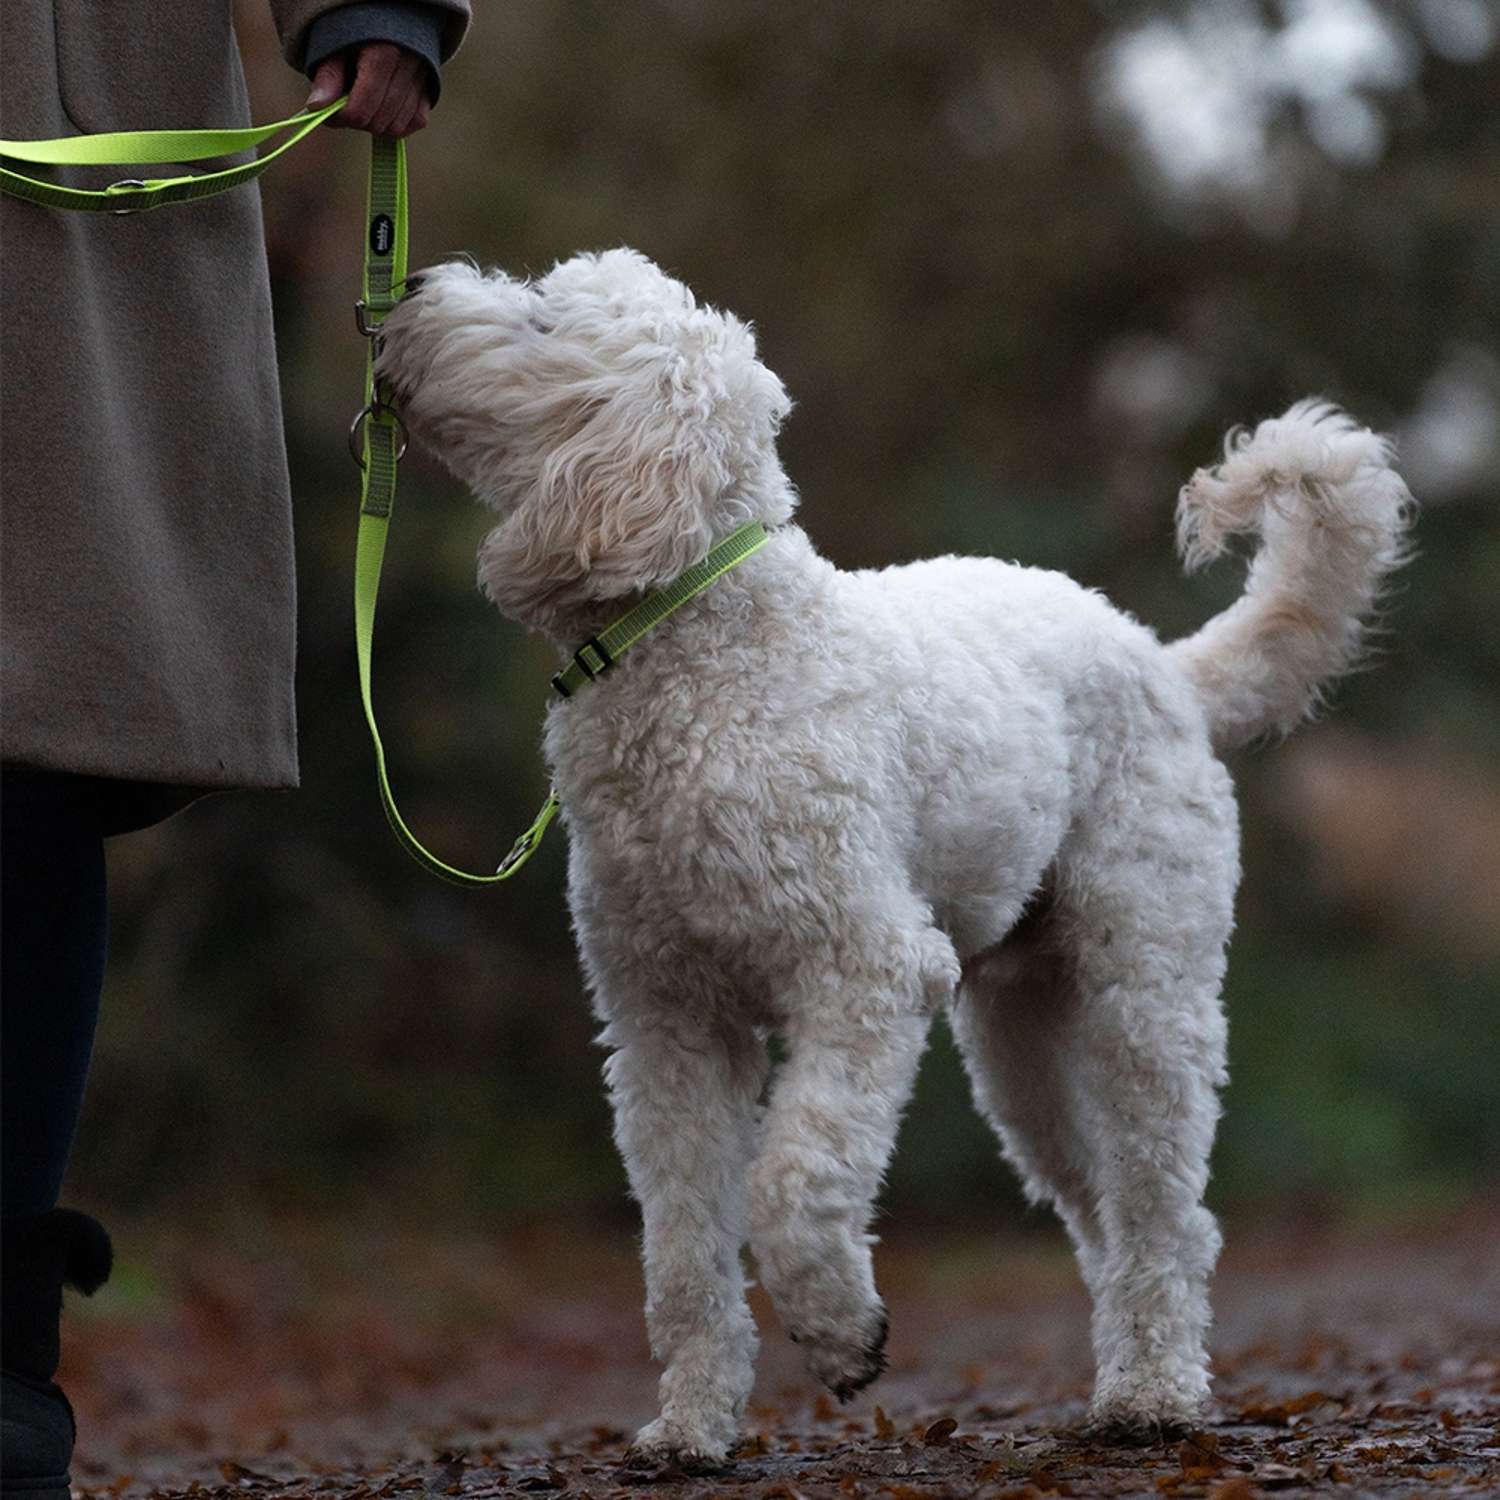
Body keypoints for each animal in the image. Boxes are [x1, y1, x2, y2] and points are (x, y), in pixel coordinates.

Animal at [376, 248, 1412, 1463]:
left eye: (543, 316)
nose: (404, 294)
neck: (710, 651)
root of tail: (1164, 663)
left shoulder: (865, 973)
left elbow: (792, 1176)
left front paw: (843, 1334)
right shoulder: (664, 1023)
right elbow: (680, 1251)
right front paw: (690, 1425)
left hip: (1146, 987)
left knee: (1167, 1207)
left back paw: (1155, 1395)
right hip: (1017, 1037)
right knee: (1100, 1206)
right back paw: (1128, 1371)